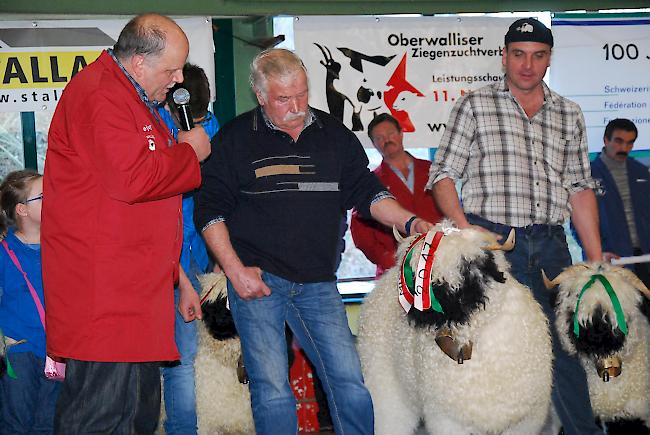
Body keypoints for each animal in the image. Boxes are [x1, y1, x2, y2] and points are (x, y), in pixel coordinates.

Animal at [354, 223, 552, 434]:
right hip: (386, 384)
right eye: (415, 272)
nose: (420, 311)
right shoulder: (449, 420)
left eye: (466, 267)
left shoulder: (525, 421)